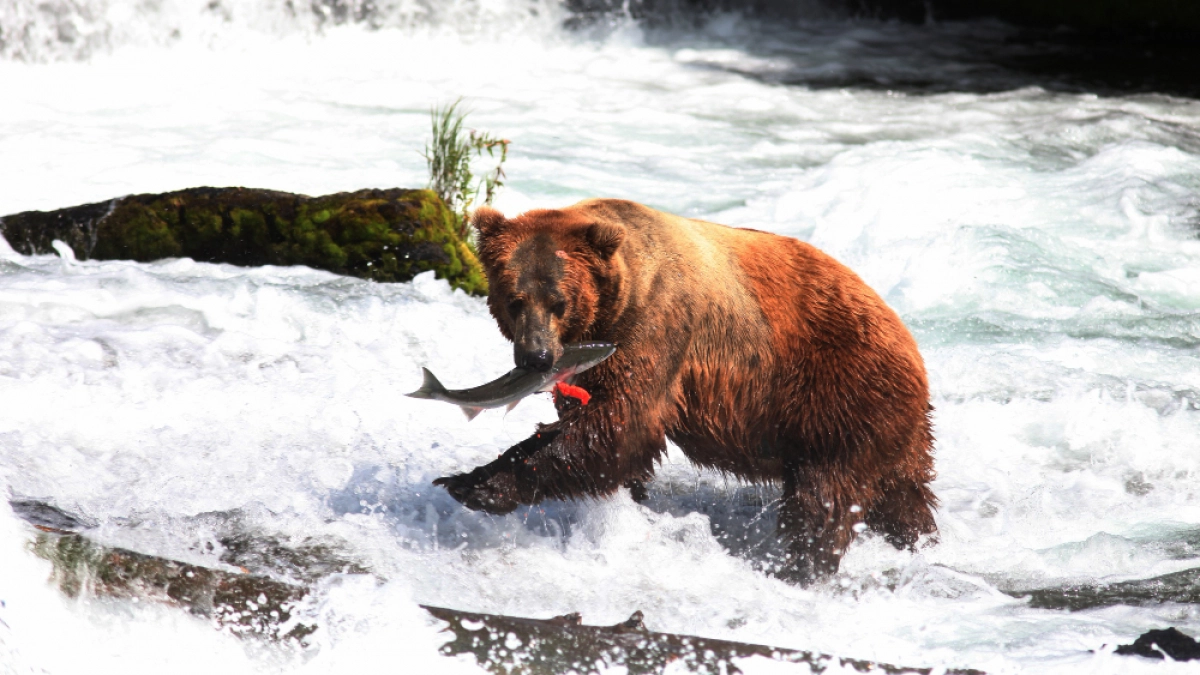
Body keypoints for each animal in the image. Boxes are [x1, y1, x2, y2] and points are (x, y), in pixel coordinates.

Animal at [433, 198, 937, 584]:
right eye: (514, 299)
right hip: (889, 426)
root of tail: (910, 343)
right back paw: (917, 540)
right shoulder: (591, 362)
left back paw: (799, 568)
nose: (536, 357)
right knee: (903, 494)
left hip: (841, 393)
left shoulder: (657, 328)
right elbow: (596, 431)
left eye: (559, 301)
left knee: (823, 495)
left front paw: (472, 482)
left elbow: (619, 427)